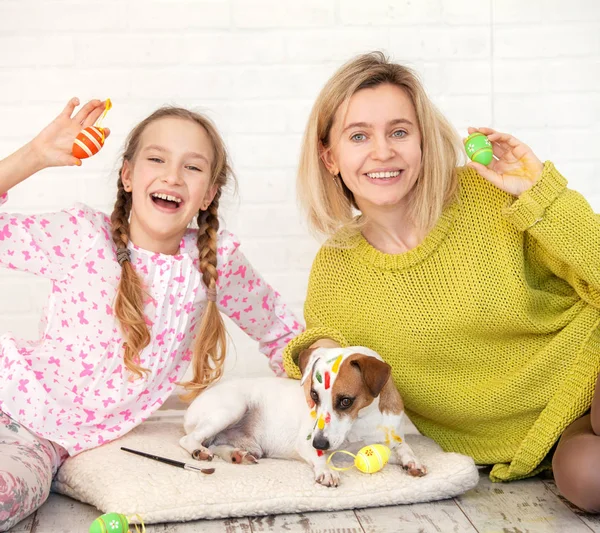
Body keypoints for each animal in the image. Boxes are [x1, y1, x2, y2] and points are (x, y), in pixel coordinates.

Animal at [179, 344, 426, 486]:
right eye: (314, 395)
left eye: (346, 401)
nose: (319, 442)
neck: (363, 420)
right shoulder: (307, 441)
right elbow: (319, 457)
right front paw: (326, 471)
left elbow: (404, 448)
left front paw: (413, 461)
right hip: (232, 408)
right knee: (189, 439)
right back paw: (199, 451)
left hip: (245, 441)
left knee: (215, 444)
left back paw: (236, 455)